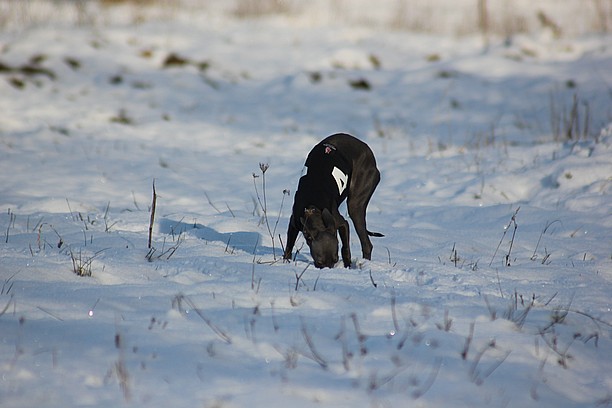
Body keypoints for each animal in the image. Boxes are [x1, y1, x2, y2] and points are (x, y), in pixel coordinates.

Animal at [284, 132, 382, 270]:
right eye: (320, 262)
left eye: (335, 260)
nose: (328, 270)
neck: (313, 208)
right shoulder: (294, 223)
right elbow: (288, 246)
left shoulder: (341, 223)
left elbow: (345, 248)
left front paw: (348, 267)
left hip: (356, 200)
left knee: (366, 244)